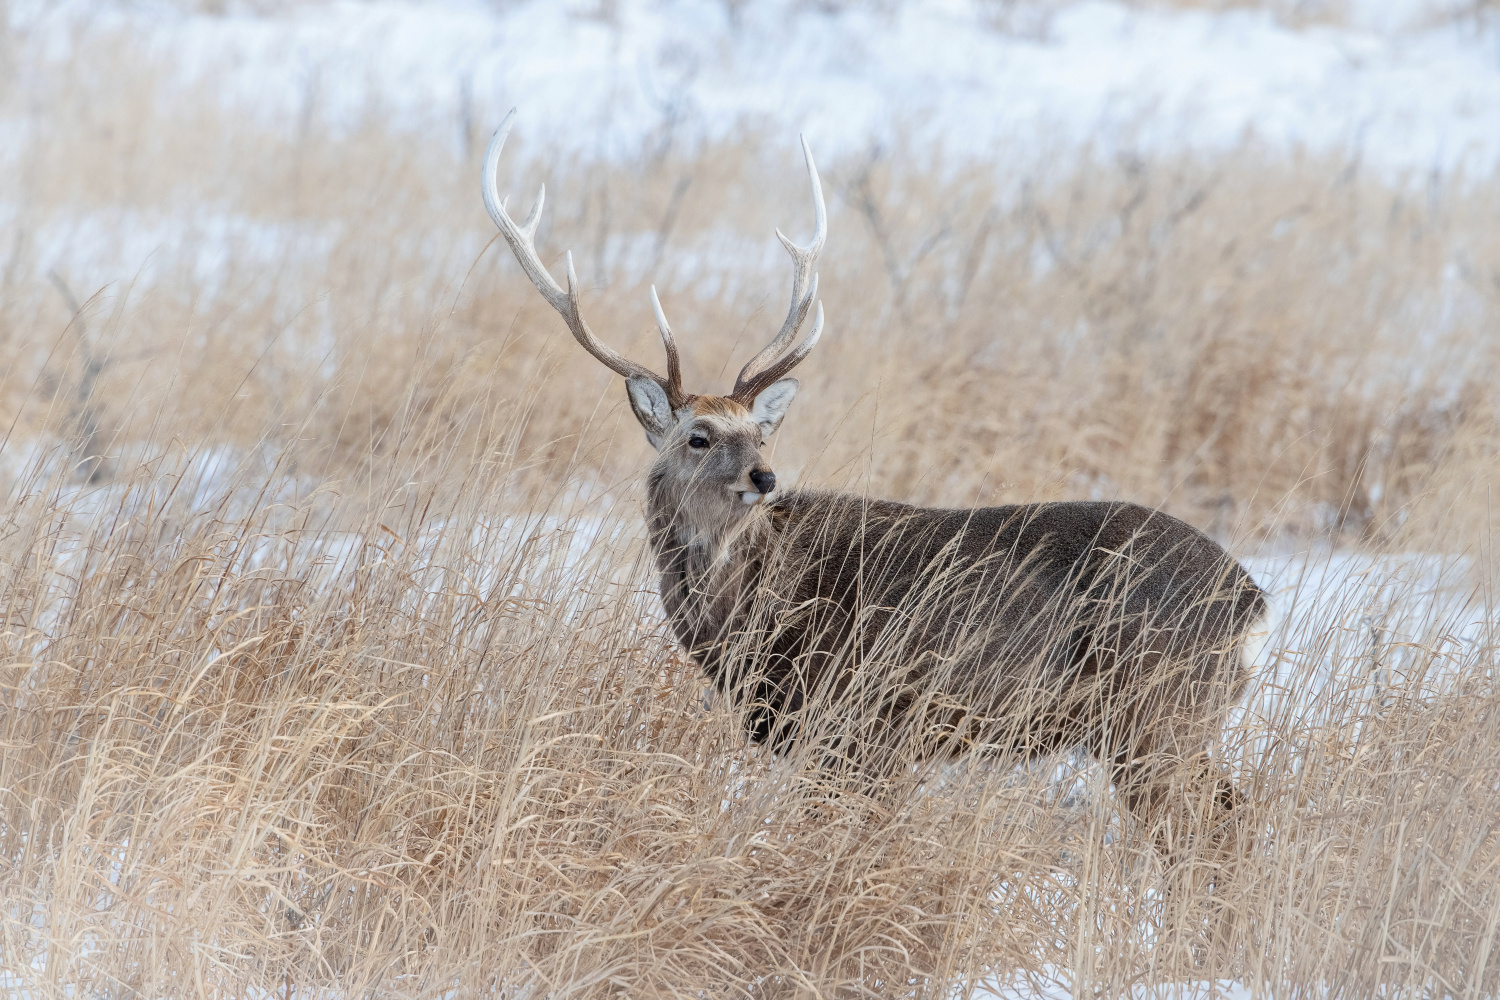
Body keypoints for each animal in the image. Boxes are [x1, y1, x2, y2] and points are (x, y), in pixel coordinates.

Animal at [480, 109, 1266, 845]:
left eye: (758, 430)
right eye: (698, 436)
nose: (765, 477)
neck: (752, 619)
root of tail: (1253, 600)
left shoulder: (866, 723)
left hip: (1156, 712)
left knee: (1220, 834)